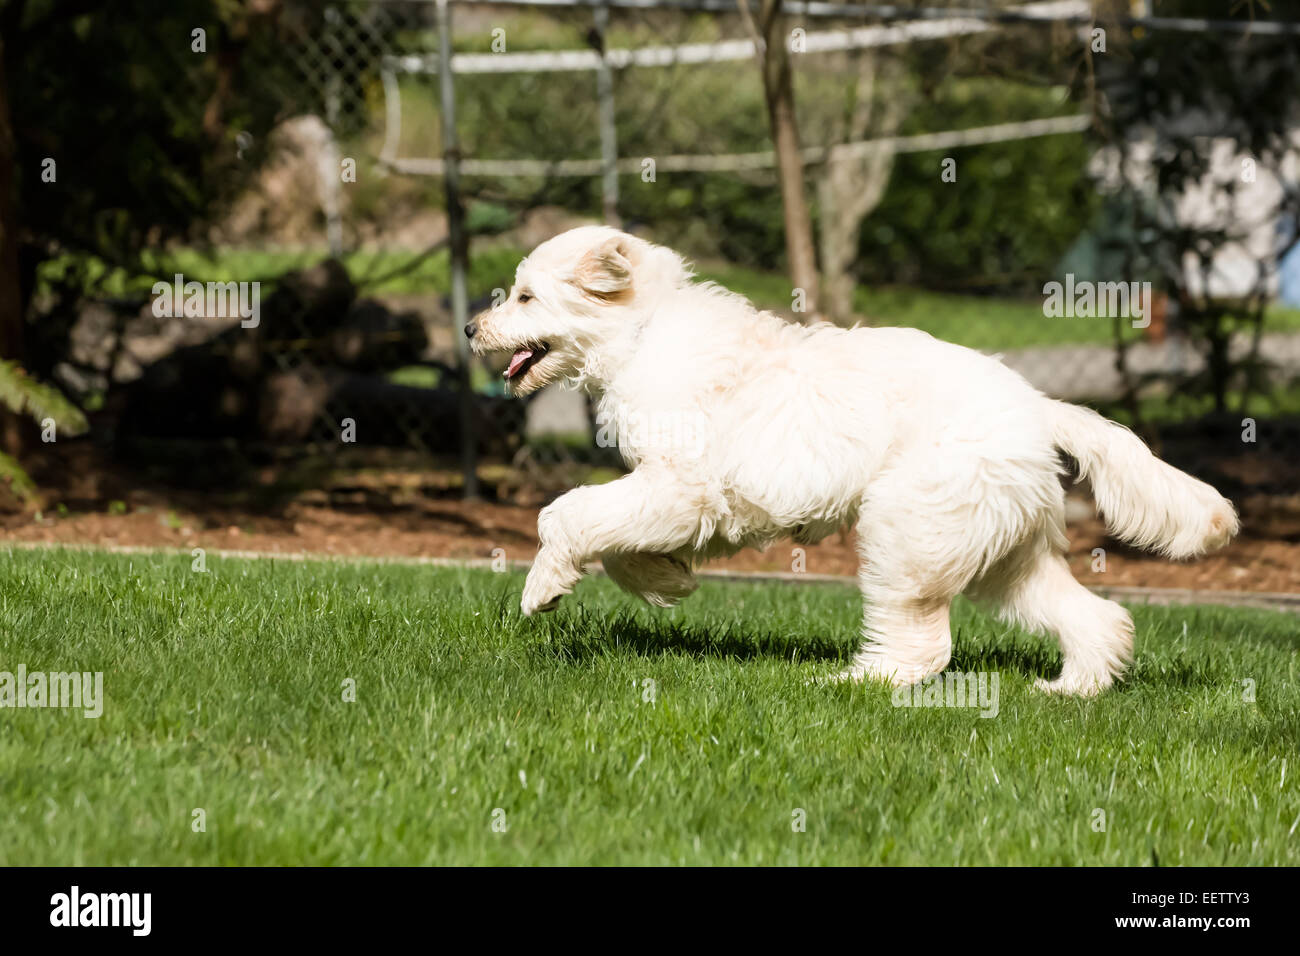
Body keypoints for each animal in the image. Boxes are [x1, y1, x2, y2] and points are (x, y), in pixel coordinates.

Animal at [467, 227, 1237, 697]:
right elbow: (620, 541)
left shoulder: (682, 488)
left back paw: (853, 685)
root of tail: (1037, 407)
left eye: (527, 295)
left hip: (908, 535)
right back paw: (1071, 690)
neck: (643, 333)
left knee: (922, 647)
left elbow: (569, 513)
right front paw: (667, 581)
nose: (472, 328)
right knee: (1098, 618)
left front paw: (546, 588)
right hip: (1007, 558)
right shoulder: (673, 496)